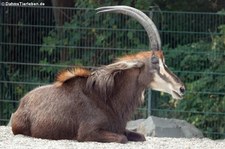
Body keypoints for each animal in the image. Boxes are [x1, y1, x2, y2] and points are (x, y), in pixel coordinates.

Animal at [11, 5, 185, 143]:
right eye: (155, 62)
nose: (181, 88)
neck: (107, 98)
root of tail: (22, 103)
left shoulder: (120, 128)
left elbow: (141, 136)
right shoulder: (88, 132)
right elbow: (122, 139)